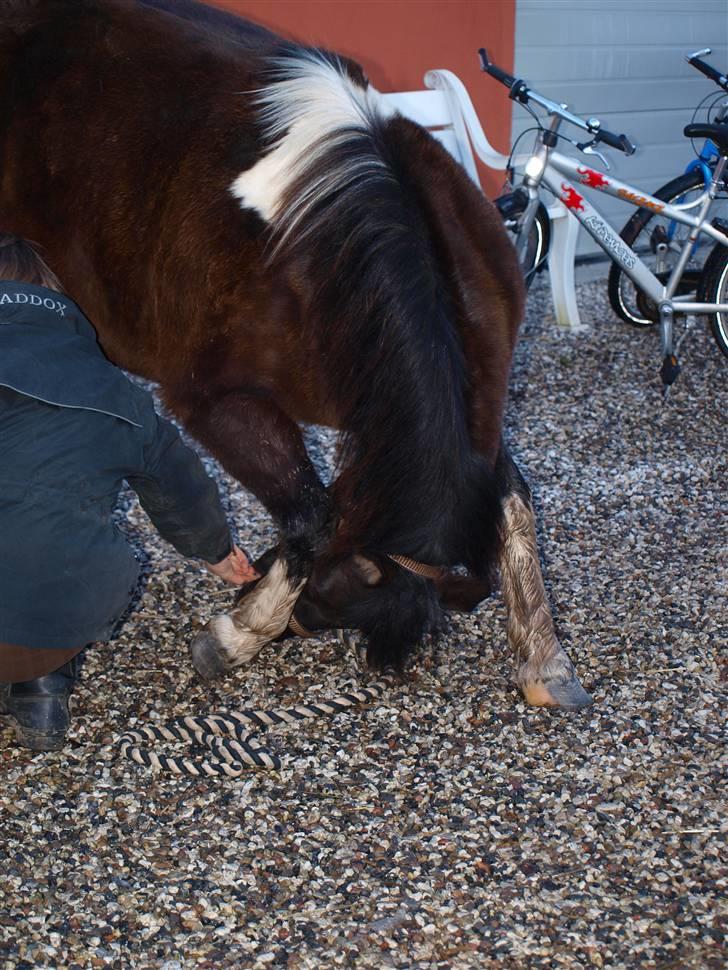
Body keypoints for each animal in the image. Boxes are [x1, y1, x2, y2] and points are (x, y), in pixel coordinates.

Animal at [0, 1, 592, 712]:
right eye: (331, 598)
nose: (298, 626)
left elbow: (514, 501)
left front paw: (544, 660)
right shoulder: (218, 403)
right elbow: (314, 515)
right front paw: (238, 633)